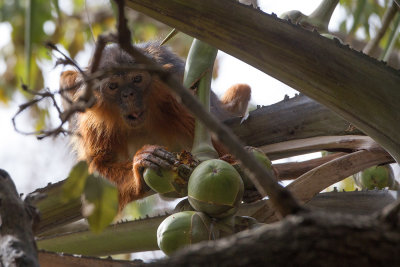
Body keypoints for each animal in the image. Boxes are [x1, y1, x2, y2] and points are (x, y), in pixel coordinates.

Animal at [60, 42, 250, 209]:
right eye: (113, 86)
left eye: (137, 79)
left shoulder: (176, 96)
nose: (128, 94)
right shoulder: (90, 123)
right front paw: (142, 160)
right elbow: (98, 170)